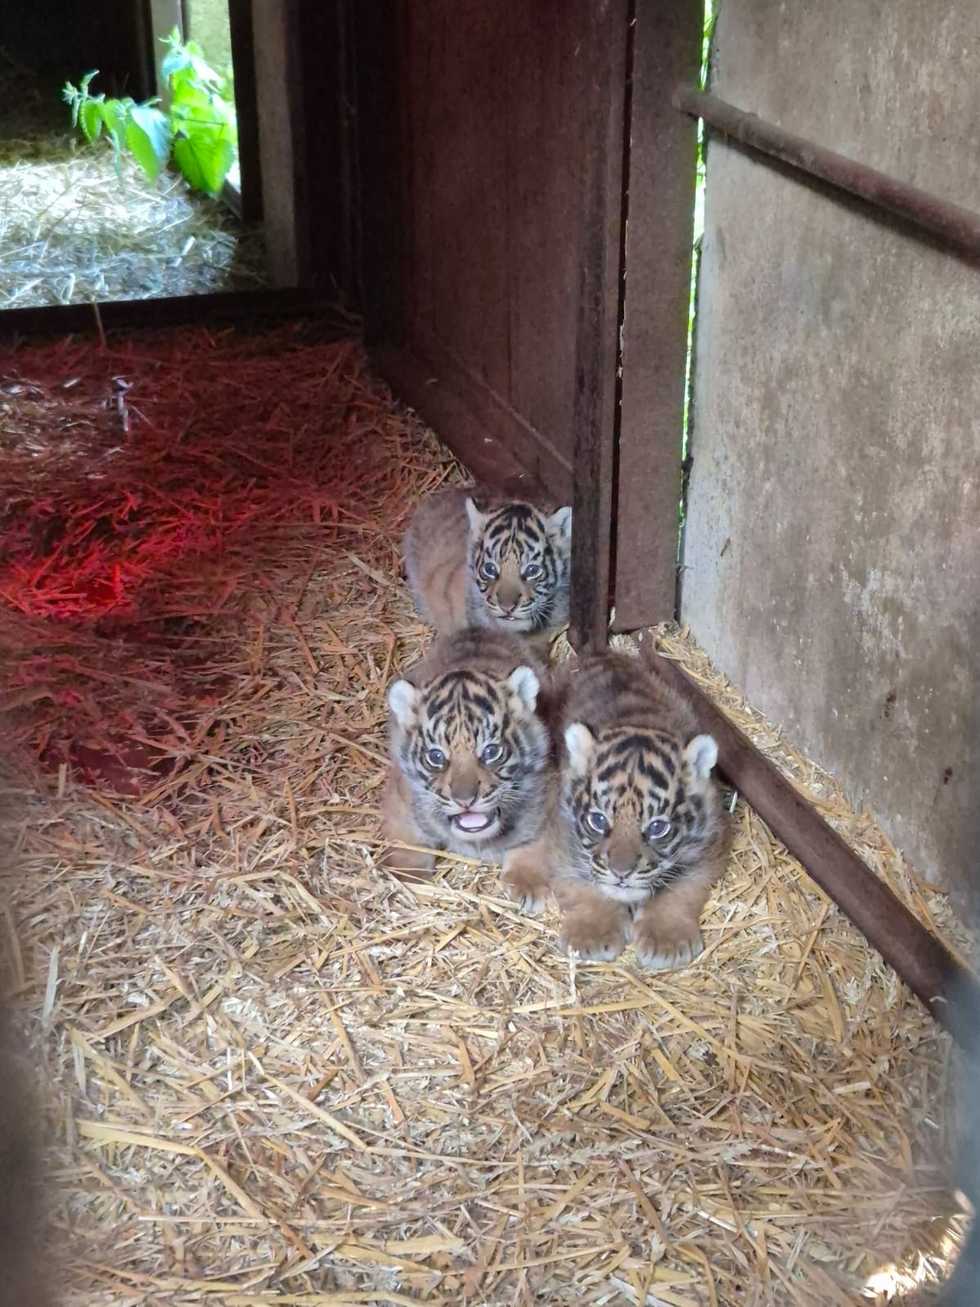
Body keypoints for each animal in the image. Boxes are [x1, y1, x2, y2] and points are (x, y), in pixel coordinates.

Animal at [381, 627, 557, 881]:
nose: (465, 800)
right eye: (436, 757)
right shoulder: (401, 800)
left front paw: (526, 882)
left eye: (491, 751)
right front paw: (407, 877)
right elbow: (407, 842)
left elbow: (534, 840)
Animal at [504, 650, 730, 972]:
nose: (621, 872)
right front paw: (593, 935)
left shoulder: (710, 844)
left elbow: (680, 891)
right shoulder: (565, 839)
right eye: (598, 820)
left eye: (657, 827)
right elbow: (583, 885)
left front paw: (666, 941)